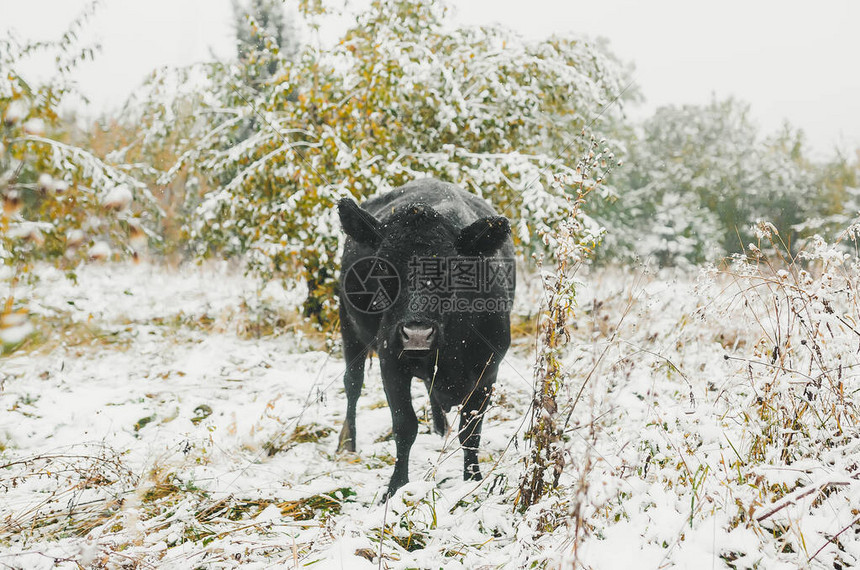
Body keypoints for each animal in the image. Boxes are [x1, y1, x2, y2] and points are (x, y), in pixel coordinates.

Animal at [332, 178, 512, 496]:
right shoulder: (390, 362)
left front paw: (473, 480)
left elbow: (471, 431)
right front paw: (395, 487)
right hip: (349, 329)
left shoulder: (488, 370)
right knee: (352, 385)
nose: (417, 334)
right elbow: (405, 425)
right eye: (383, 265)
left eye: (455, 266)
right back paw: (348, 443)